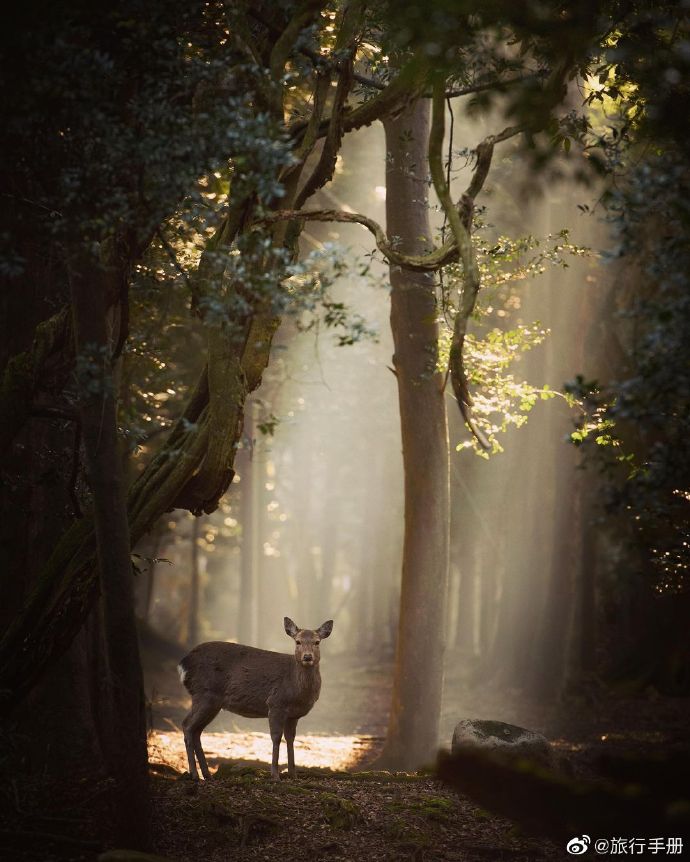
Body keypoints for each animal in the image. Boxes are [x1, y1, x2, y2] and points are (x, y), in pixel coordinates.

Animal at [175, 616, 330, 784]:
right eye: (298, 641)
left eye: (317, 642)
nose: (307, 657)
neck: (296, 689)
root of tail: (183, 664)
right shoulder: (275, 703)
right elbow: (276, 737)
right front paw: (275, 776)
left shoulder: (293, 715)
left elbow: (291, 739)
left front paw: (293, 775)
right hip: (203, 693)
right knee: (187, 725)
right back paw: (194, 774)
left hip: (212, 702)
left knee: (196, 730)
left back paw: (207, 775)